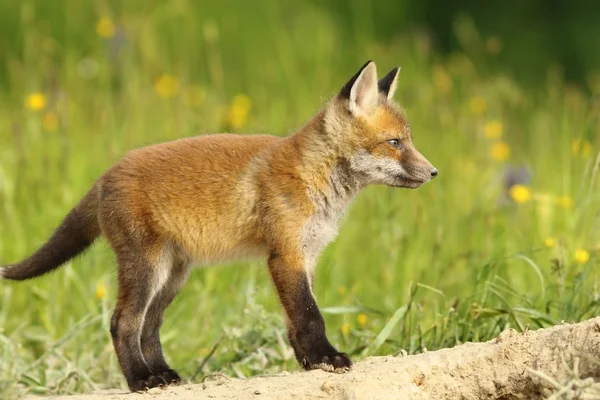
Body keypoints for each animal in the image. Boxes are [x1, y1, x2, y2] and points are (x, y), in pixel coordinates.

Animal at [2, 61, 438, 392]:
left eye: (409, 140)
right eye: (395, 143)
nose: (434, 172)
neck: (313, 176)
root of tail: (105, 175)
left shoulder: (306, 255)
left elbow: (295, 319)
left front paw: (308, 362)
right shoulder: (285, 255)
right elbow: (310, 314)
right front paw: (326, 358)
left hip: (173, 276)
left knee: (149, 327)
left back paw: (163, 374)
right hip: (147, 269)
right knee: (122, 323)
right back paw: (141, 380)